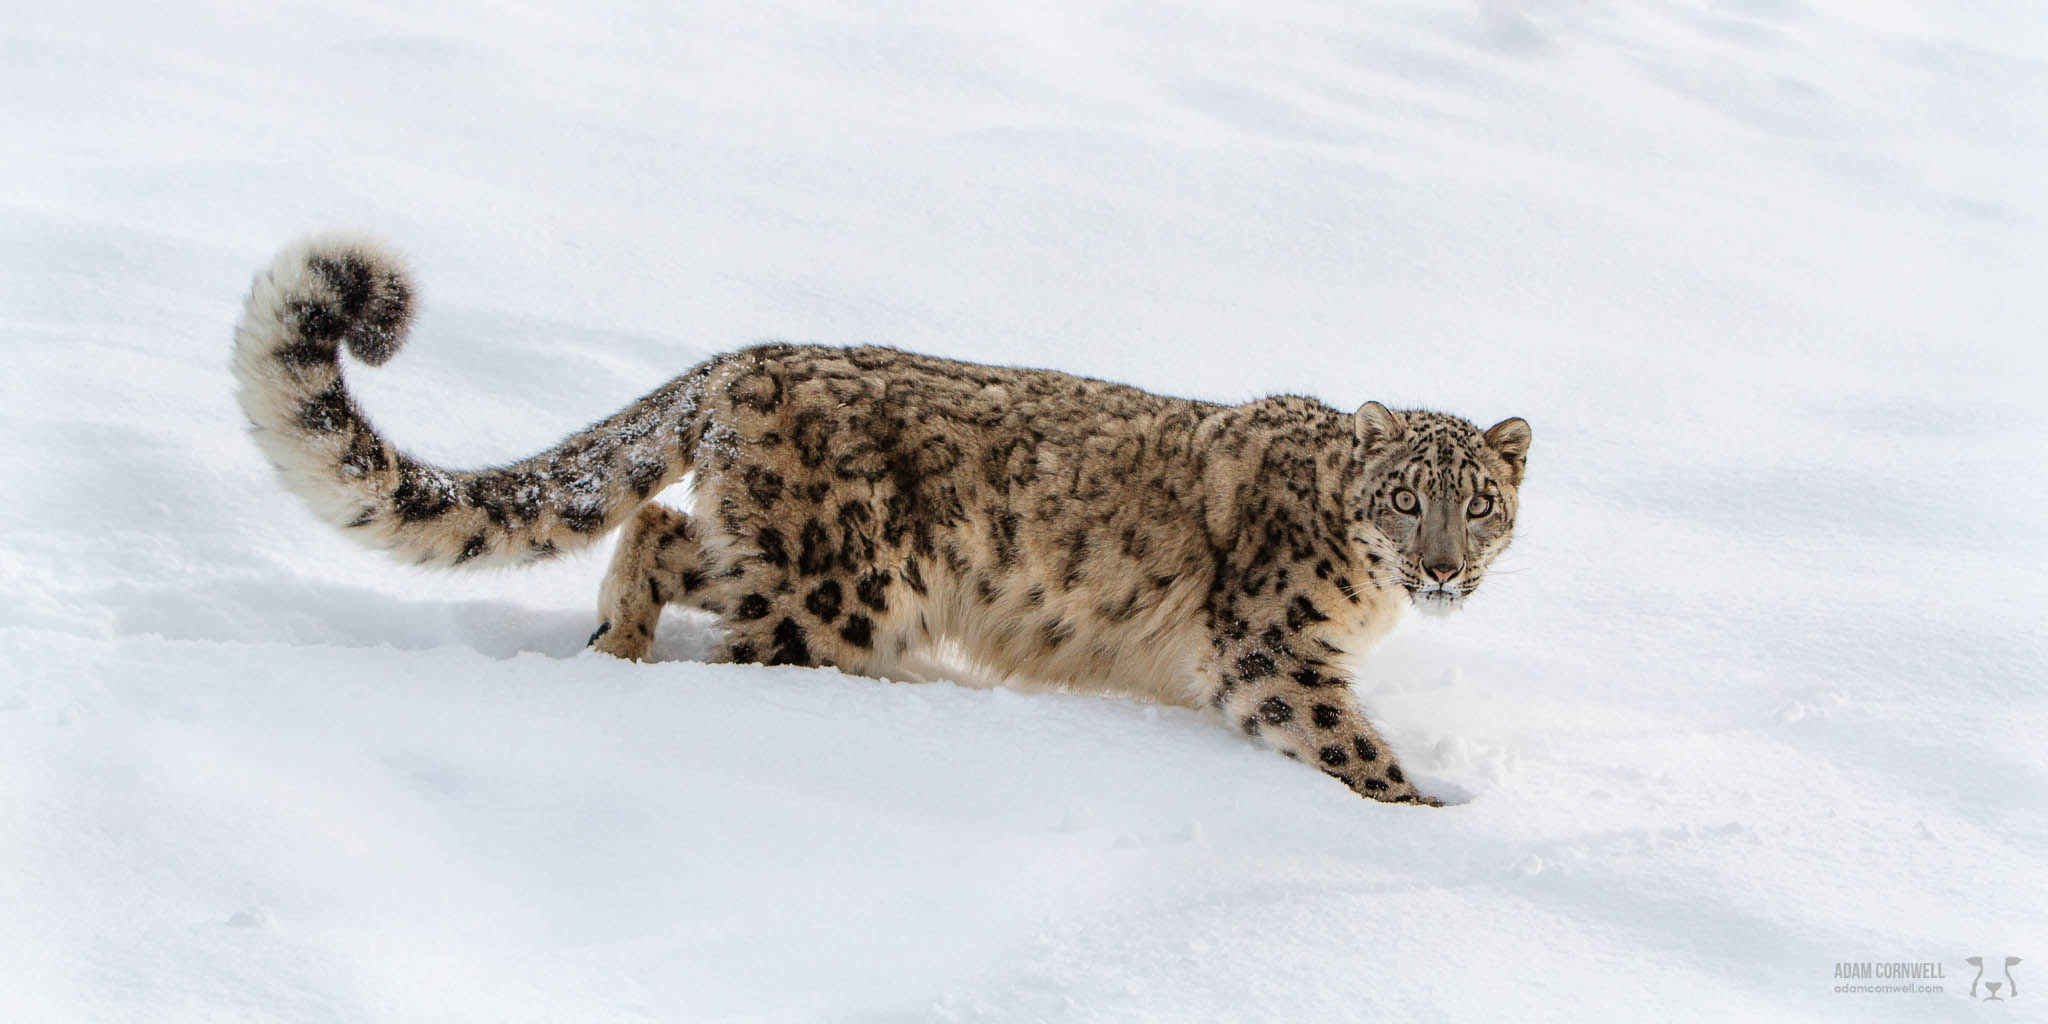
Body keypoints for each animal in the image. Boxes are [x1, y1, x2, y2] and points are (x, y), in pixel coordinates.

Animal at [232, 235, 1531, 802]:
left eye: (1477, 506)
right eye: (1404, 498)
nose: (1442, 571)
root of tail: (744, 360)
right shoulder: (1271, 650)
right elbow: (1344, 742)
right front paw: (1427, 814)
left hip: (790, 564)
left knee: (658, 533)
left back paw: (616, 644)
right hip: (837, 593)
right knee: (736, 636)